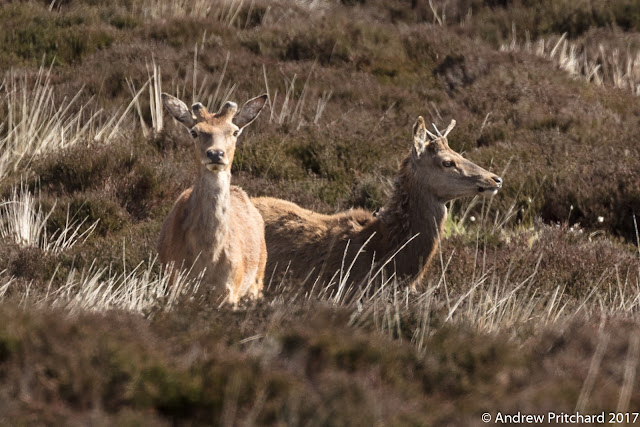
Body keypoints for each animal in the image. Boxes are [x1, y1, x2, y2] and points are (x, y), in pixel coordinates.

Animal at [160, 92, 270, 306]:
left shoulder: (230, 290)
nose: (215, 153)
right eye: (194, 132)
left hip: (257, 279)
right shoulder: (176, 284)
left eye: (235, 132)